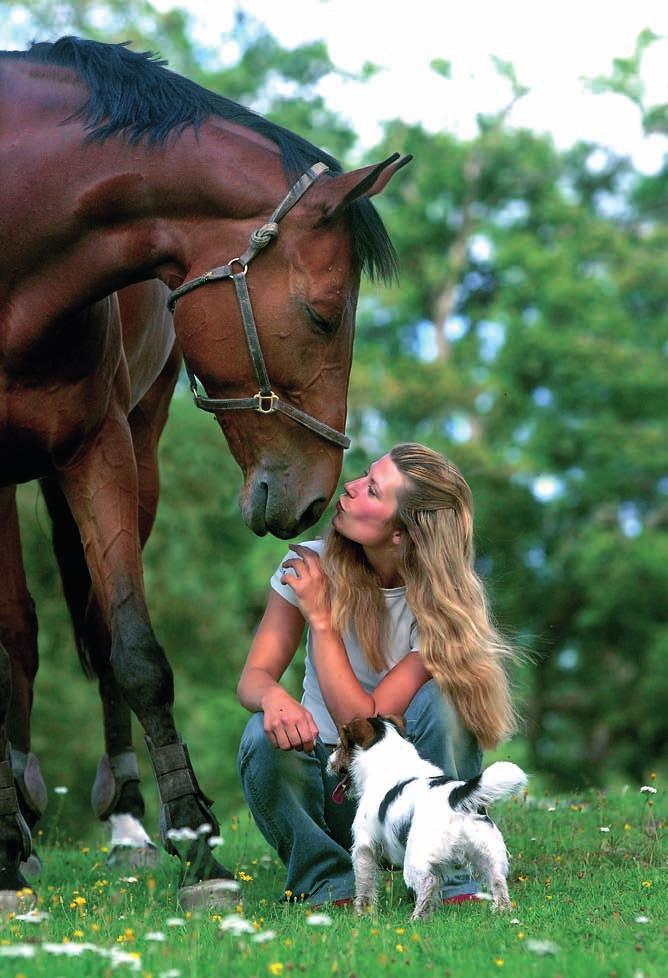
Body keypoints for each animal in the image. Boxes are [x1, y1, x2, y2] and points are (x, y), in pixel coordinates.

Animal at [0, 38, 410, 908]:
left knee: (92, 627)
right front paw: (3, 851)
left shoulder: (98, 448)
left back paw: (124, 823)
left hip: (134, 448)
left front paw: (197, 847)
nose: (317, 498)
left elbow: (135, 651)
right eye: (324, 313)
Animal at [328, 716, 528, 916]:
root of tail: (456, 796)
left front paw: (362, 914)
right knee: (498, 880)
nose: (329, 762)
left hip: (415, 859)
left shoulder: (364, 846)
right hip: (488, 854)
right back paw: (502, 911)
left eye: (339, 746)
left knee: (428, 882)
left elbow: (365, 885)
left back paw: (417, 918)